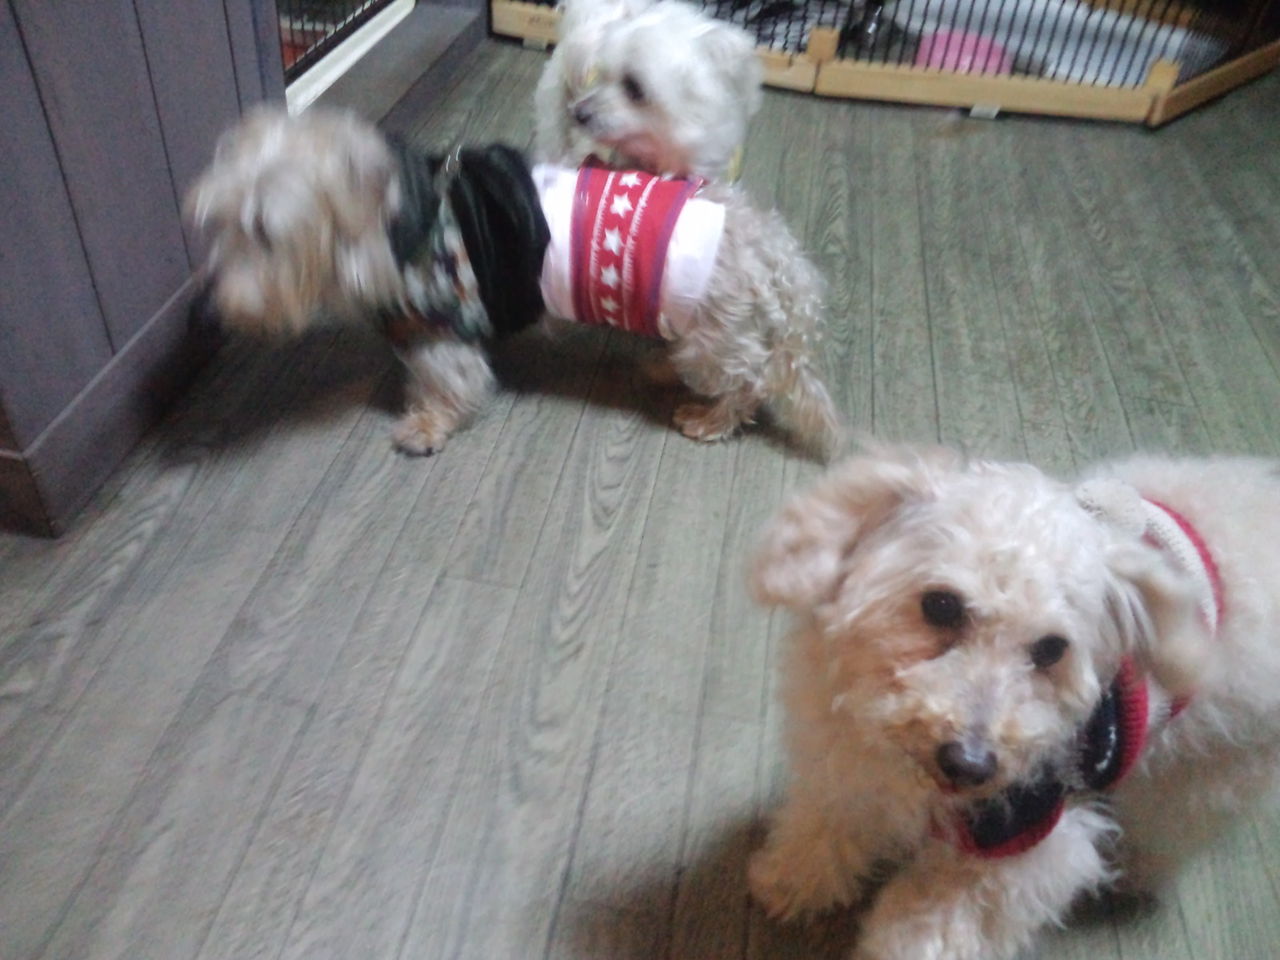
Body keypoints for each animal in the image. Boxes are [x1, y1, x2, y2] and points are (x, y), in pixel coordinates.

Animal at [185, 107, 840, 456]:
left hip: (715, 340)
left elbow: (449, 386)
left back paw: (710, 419)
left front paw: (424, 427)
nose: (213, 311)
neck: (398, 222)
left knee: (749, 381)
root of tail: (778, 256)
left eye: (264, 233)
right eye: (214, 223)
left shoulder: (441, 332)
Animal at [747, 446, 1280, 959]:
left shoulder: (1026, 842)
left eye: (1051, 648)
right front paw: (792, 879)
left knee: (1172, 826)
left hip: (1207, 777)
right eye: (941, 604)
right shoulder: (847, 771)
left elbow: (934, 926)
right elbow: (826, 827)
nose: (969, 764)